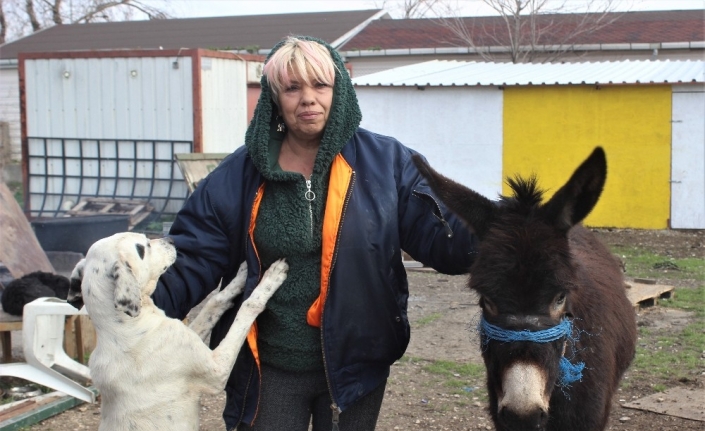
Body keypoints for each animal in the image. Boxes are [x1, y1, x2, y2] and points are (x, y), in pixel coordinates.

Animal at [66, 235, 286, 430]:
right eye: (142, 248)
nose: (171, 240)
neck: (124, 327)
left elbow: (215, 302)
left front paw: (241, 276)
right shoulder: (218, 370)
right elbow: (247, 308)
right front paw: (269, 281)